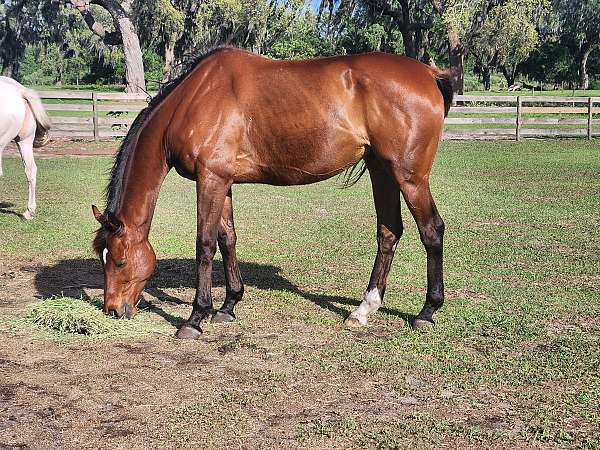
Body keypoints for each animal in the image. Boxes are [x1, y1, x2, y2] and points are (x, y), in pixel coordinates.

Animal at [91, 47, 452, 340]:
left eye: (120, 261)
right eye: (103, 259)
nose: (112, 310)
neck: (193, 99)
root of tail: (429, 74)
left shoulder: (210, 179)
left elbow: (205, 245)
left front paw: (195, 318)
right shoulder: (223, 182)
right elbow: (228, 239)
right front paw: (228, 305)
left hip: (410, 177)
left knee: (431, 230)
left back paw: (426, 312)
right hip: (381, 170)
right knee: (389, 233)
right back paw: (363, 310)